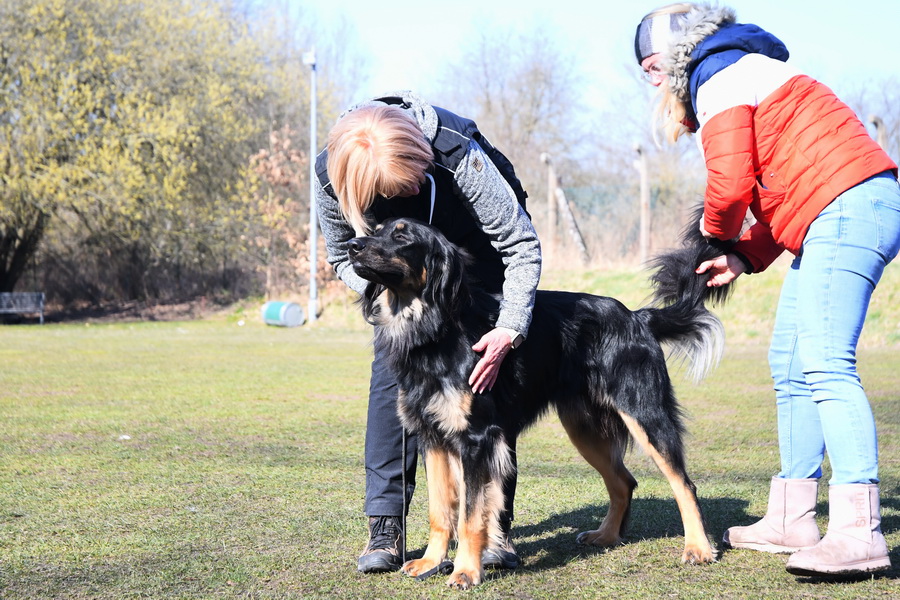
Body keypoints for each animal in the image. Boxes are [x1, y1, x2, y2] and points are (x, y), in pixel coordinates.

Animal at [346, 218, 732, 588]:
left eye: (402, 237)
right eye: (376, 230)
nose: (352, 245)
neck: (435, 328)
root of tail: (637, 317)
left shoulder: (477, 439)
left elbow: (471, 515)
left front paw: (466, 571)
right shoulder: (433, 437)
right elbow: (440, 511)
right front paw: (431, 562)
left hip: (645, 414)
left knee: (683, 484)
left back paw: (698, 548)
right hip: (584, 429)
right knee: (623, 482)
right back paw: (606, 536)